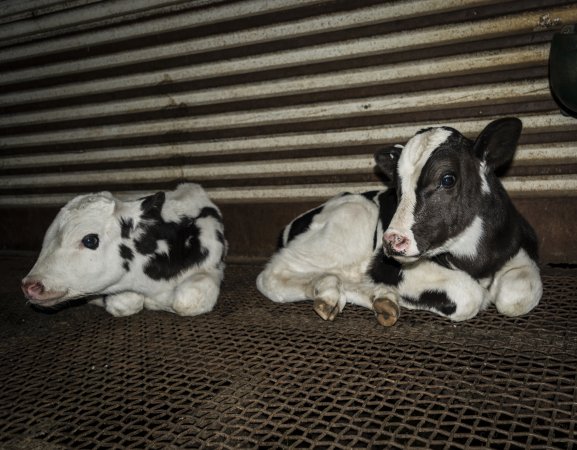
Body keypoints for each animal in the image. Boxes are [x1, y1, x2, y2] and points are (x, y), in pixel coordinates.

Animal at [22, 183, 225, 316]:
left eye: (90, 240)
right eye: (46, 240)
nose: (30, 286)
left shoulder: (212, 267)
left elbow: (187, 300)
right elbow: (125, 302)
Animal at [258, 118, 544, 324]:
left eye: (447, 179)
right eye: (397, 187)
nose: (392, 241)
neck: (476, 262)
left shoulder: (518, 250)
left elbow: (517, 297)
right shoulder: (391, 267)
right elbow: (469, 295)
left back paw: (376, 298)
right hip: (351, 218)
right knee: (273, 274)